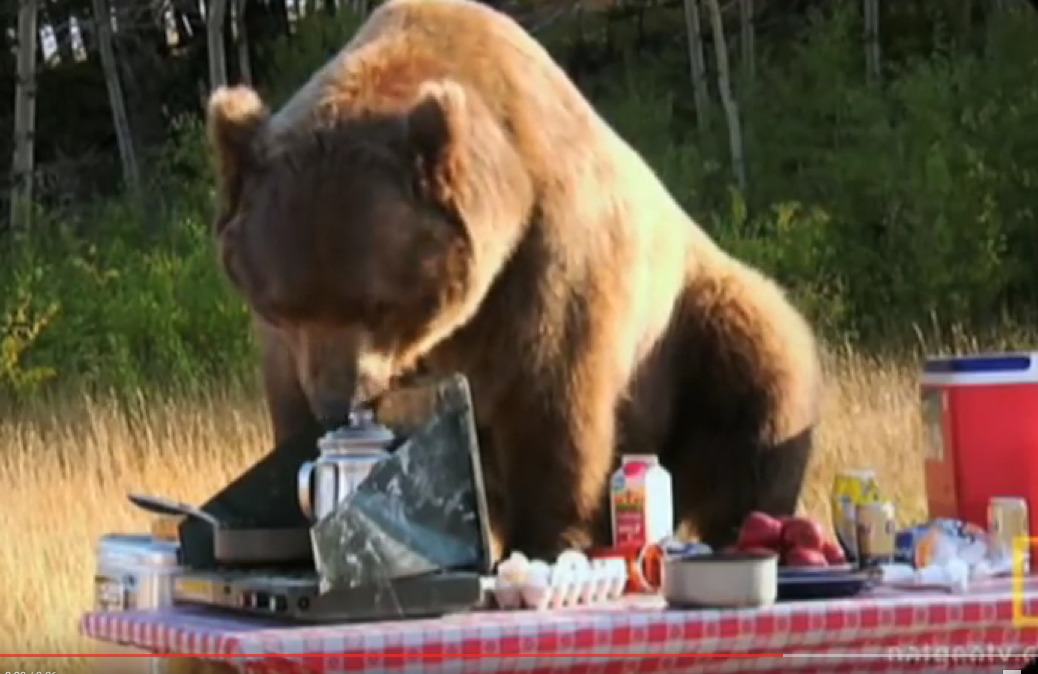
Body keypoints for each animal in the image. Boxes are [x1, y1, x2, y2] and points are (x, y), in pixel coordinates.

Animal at [204, 0, 817, 560]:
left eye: (378, 306)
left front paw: (548, 542)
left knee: (761, 382)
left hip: (691, 325)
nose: (339, 401)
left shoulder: (547, 265)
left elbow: (553, 409)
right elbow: (290, 416)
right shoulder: (284, 348)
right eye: (285, 305)